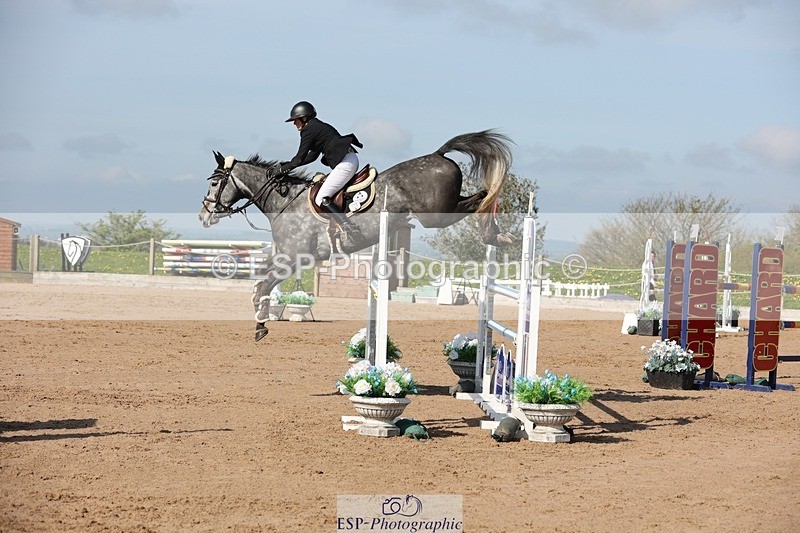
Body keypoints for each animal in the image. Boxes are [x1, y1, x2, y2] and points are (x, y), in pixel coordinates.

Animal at [199, 130, 513, 341]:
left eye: (214, 182)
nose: (203, 215)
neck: (283, 201)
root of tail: (438, 154)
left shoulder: (293, 258)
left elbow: (264, 285)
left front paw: (261, 324)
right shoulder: (282, 255)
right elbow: (259, 284)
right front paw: (260, 317)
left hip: (434, 215)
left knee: (481, 198)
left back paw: (496, 235)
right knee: (478, 197)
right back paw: (498, 234)